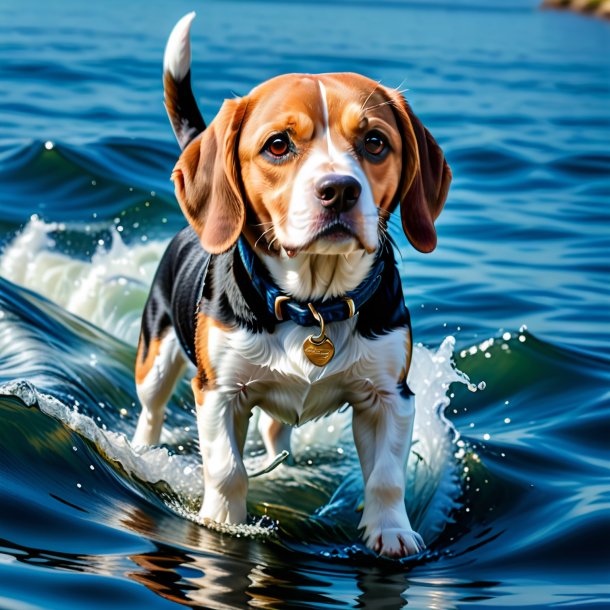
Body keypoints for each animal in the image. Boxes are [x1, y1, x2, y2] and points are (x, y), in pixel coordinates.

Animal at [132, 13, 446, 556]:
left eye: (375, 142)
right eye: (278, 144)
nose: (339, 190)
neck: (314, 302)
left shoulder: (390, 395)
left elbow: (387, 478)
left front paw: (391, 532)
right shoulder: (219, 392)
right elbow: (227, 469)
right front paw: (222, 525)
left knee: (276, 426)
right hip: (155, 357)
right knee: (150, 412)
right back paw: (141, 452)